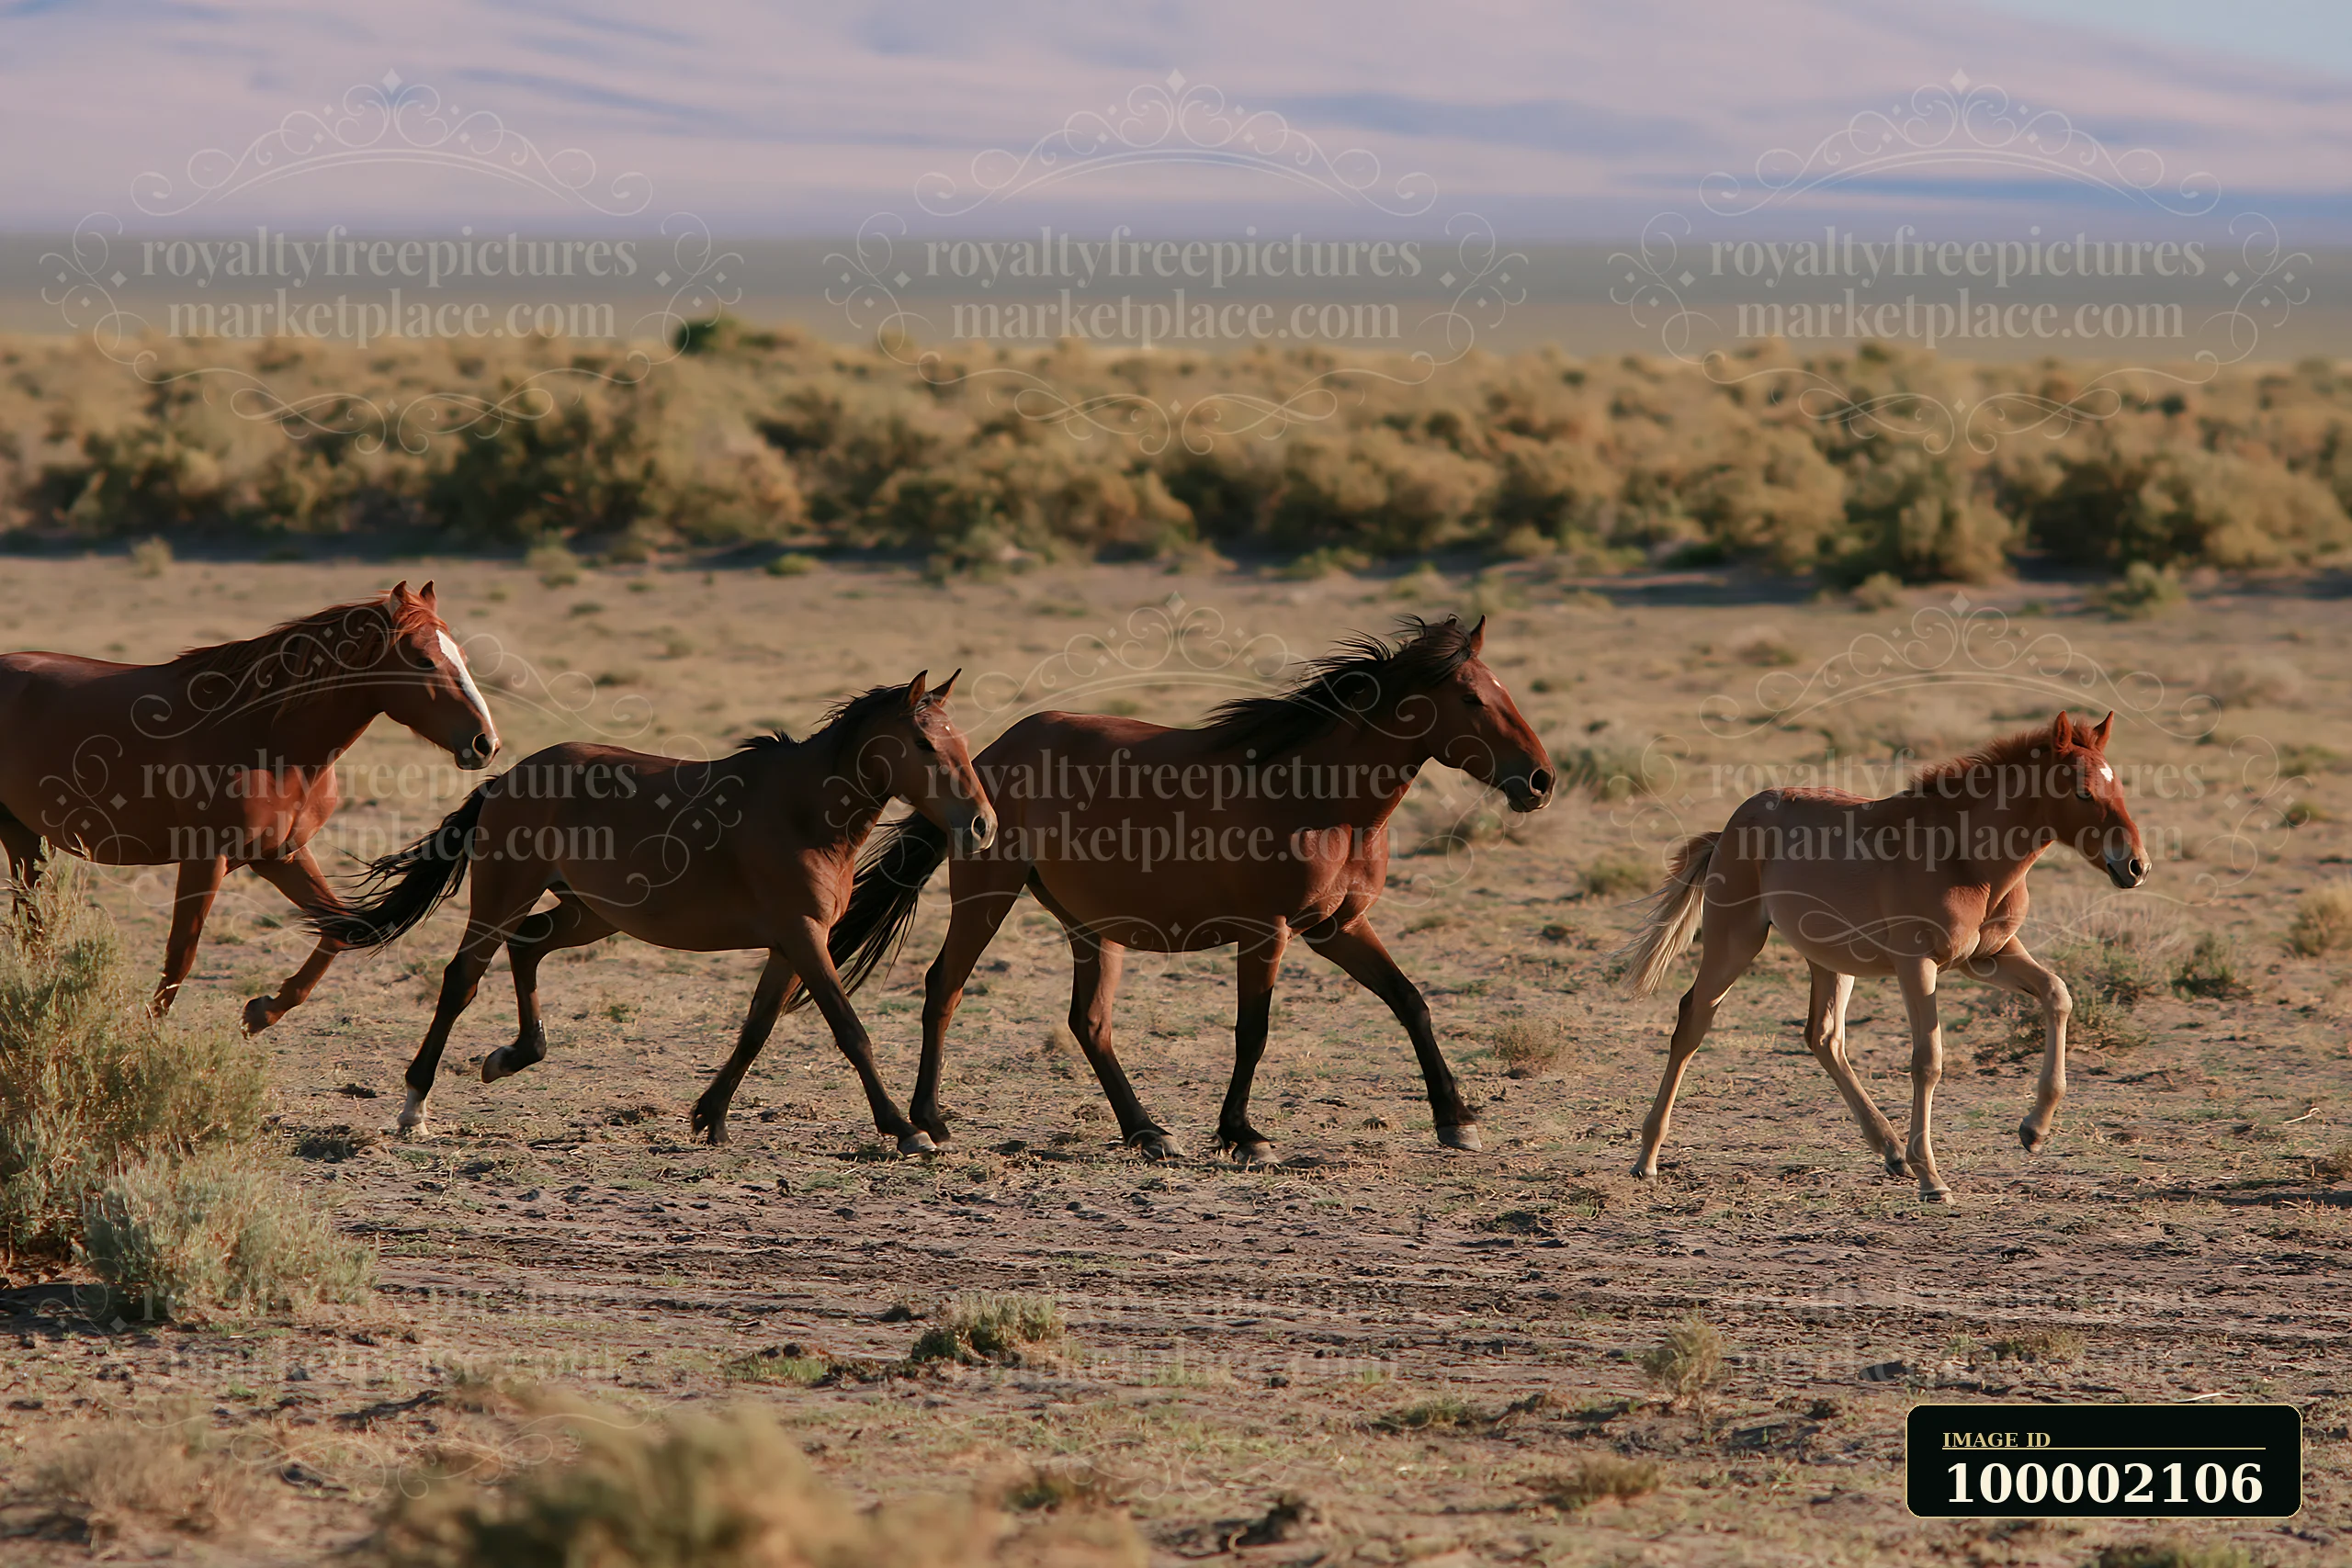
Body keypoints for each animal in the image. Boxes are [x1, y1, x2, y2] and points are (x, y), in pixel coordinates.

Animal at [0, 581, 498, 1029]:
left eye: (462, 657)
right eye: (423, 660)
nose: (485, 743)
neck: (267, 736)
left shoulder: (281, 855)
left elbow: (342, 929)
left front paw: (263, 1012)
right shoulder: (206, 858)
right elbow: (181, 954)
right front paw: (142, 1041)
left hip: (25, 839)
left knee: (31, 927)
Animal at [314, 671, 996, 1153]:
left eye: (963, 742)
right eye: (923, 743)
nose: (983, 825)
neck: (803, 812)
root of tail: (506, 778)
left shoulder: (789, 944)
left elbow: (756, 1028)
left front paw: (710, 1118)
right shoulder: (804, 938)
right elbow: (850, 1031)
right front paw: (906, 1128)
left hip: (591, 913)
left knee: (527, 946)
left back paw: (515, 1055)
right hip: (505, 896)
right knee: (462, 978)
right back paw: (414, 1107)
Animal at [776, 615, 1555, 1163]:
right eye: (1470, 697)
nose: (1539, 779)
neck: (1320, 796)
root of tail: (986, 762)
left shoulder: (1337, 927)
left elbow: (1410, 1001)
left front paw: (1457, 1120)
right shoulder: (1268, 931)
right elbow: (1253, 1031)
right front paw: (1243, 1133)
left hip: (1091, 926)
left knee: (1089, 1021)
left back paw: (1147, 1129)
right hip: (988, 895)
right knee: (946, 987)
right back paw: (930, 1122)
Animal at [1615, 711, 2150, 1202]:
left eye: (2120, 786)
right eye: (2083, 792)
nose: (2135, 866)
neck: (1967, 858)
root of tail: (1729, 827)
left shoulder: (1989, 956)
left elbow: (2057, 994)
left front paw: (2033, 1130)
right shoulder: (1917, 963)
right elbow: (1928, 1060)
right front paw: (1932, 1179)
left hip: (1830, 958)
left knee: (1823, 1036)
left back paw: (1890, 1151)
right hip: (1736, 939)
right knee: (1693, 1022)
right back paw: (1647, 1159)